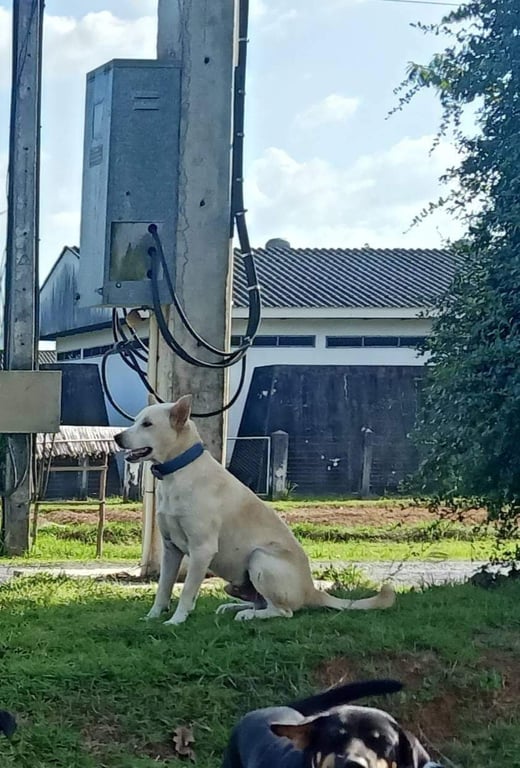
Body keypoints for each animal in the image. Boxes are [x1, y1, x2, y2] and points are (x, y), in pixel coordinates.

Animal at [114, 395, 396, 625]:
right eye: (136, 420)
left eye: (147, 424)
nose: (117, 437)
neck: (179, 471)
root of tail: (312, 590)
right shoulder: (171, 549)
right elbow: (163, 589)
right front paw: (153, 616)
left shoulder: (202, 550)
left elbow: (186, 591)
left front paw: (176, 620)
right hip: (237, 582)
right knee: (262, 602)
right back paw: (235, 607)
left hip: (260, 559)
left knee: (283, 611)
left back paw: (247, 615)